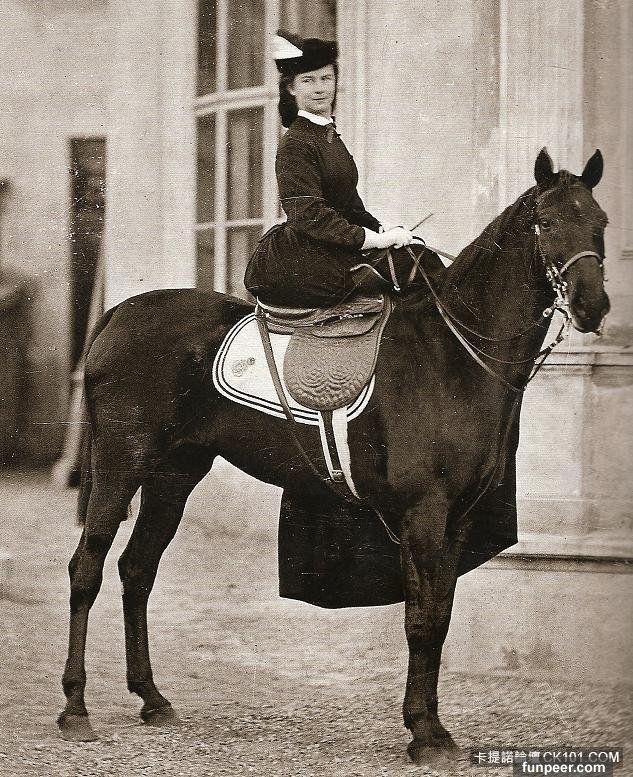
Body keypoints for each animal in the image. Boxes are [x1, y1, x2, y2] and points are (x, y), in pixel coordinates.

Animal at [58, 148, 609, 768]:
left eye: (601, 223)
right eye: (547, 223)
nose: (593, 306)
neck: (453, 354)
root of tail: (120, 313)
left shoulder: (456, 520)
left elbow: (440, 615)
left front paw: (434, 728)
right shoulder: (423, 514)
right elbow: (420, 620)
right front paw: (423, 731)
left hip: (173, 476)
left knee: (137, 569)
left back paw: (151, 697)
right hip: (120, 465)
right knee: (87, 568)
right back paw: (75, 708)